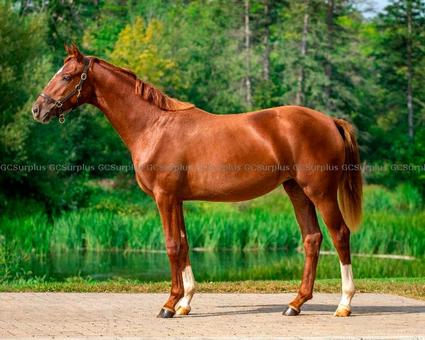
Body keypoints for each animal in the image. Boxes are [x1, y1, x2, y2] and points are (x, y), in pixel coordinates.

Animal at [32, 45, 362, 318]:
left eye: (67, 75)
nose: (38, 109)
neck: (154, 126)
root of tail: (330, 121)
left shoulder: (164, 197)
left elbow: (171, 245)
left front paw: (168, 304)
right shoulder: (176, 199)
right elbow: (184, 244)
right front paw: (185, 302)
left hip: (320, 192)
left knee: (340, 234)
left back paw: (344, 304)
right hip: (296, 190)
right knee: (312, 239)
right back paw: (295, 303)